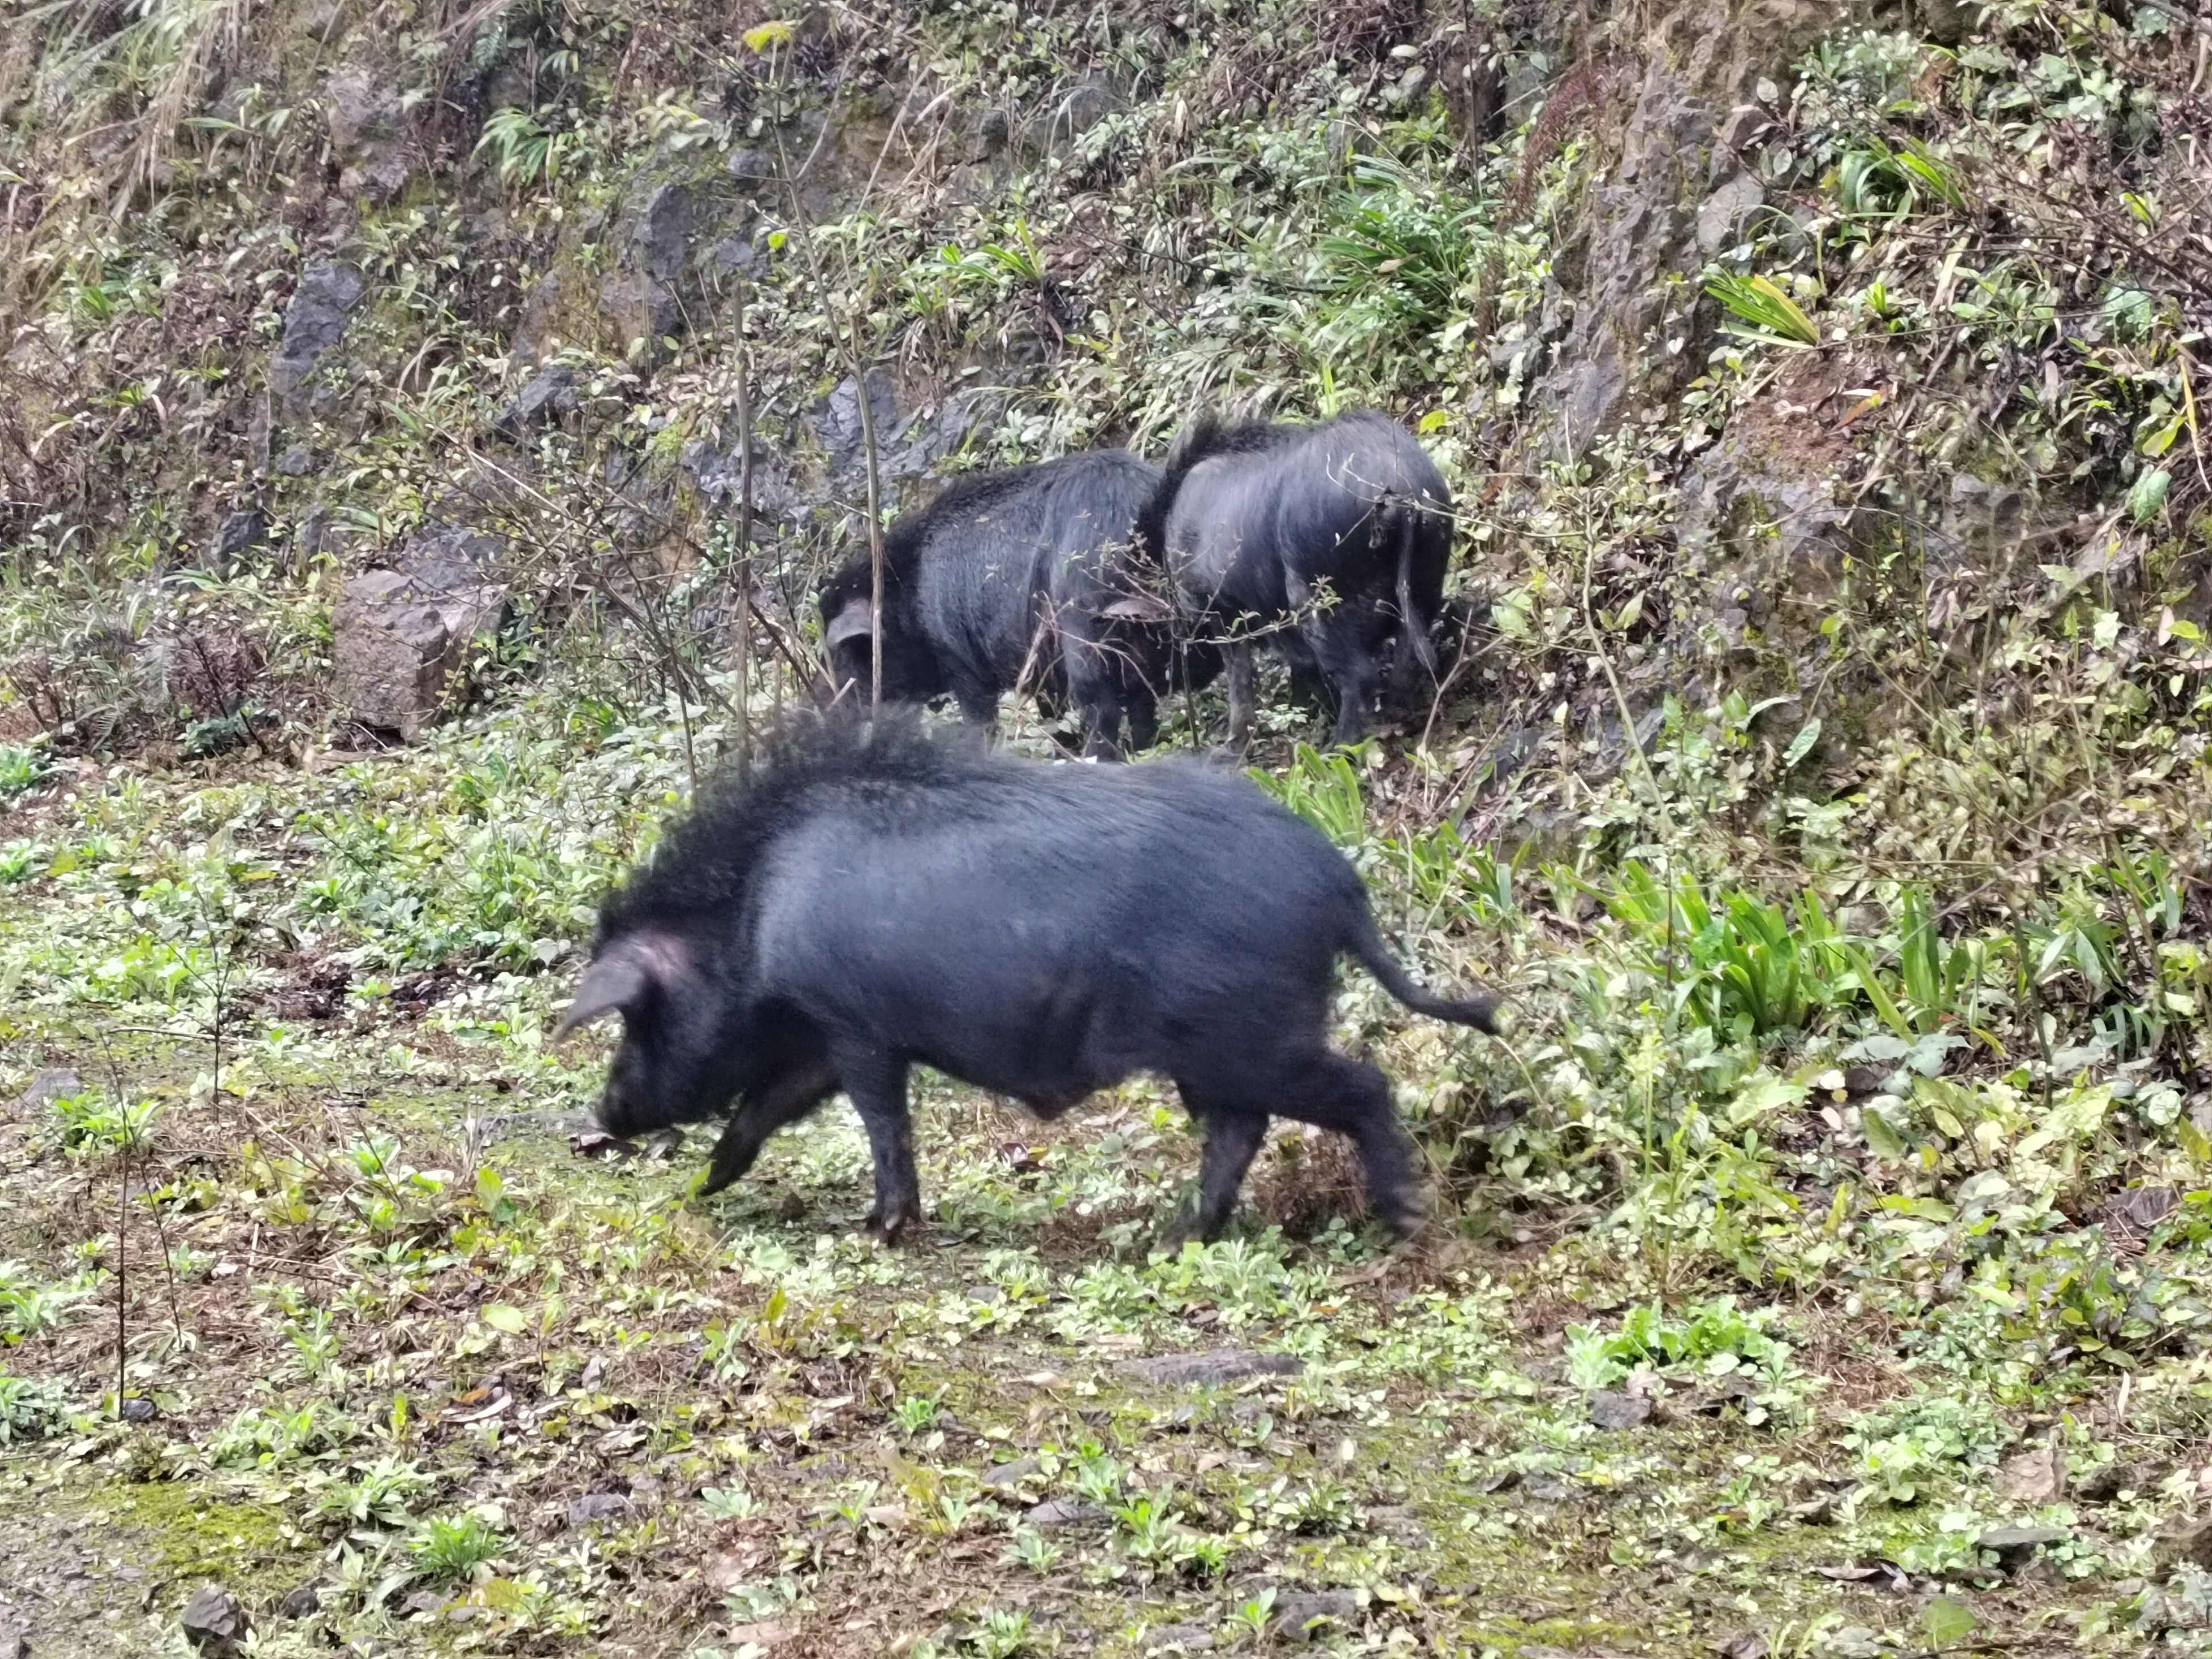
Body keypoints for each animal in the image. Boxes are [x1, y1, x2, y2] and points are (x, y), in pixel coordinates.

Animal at [553, 716, 1504, 1247]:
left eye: (637, 1016)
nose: (601, 1115)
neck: (753, 914)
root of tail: (1339, 887)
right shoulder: (825, 1037)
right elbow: (765, 1110)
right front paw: (702, 1188)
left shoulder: (854, 1025)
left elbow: (881, 1123)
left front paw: (882, 1229)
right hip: (1222, 1052)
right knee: (1240, 1131)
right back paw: (1173, 1239)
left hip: (1250, 1036)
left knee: (1356, 1089)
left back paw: (1404, 1223)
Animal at [823, 456, 1185, 765]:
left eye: (844, 655)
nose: (825, 709)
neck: (908, 594)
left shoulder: (959, 655)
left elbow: (979, 718)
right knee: (1141, 698)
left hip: (1083, 622)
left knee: (1101, 703)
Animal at [1132, 409, 1460, 747]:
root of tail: (1401, 491)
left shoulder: (1219, 609)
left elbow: (1240, 678)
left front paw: (1232, 746)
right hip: (1423, 585)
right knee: (1407, 662)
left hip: (1317, 602)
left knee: (1360, 675)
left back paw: (1335, 747)